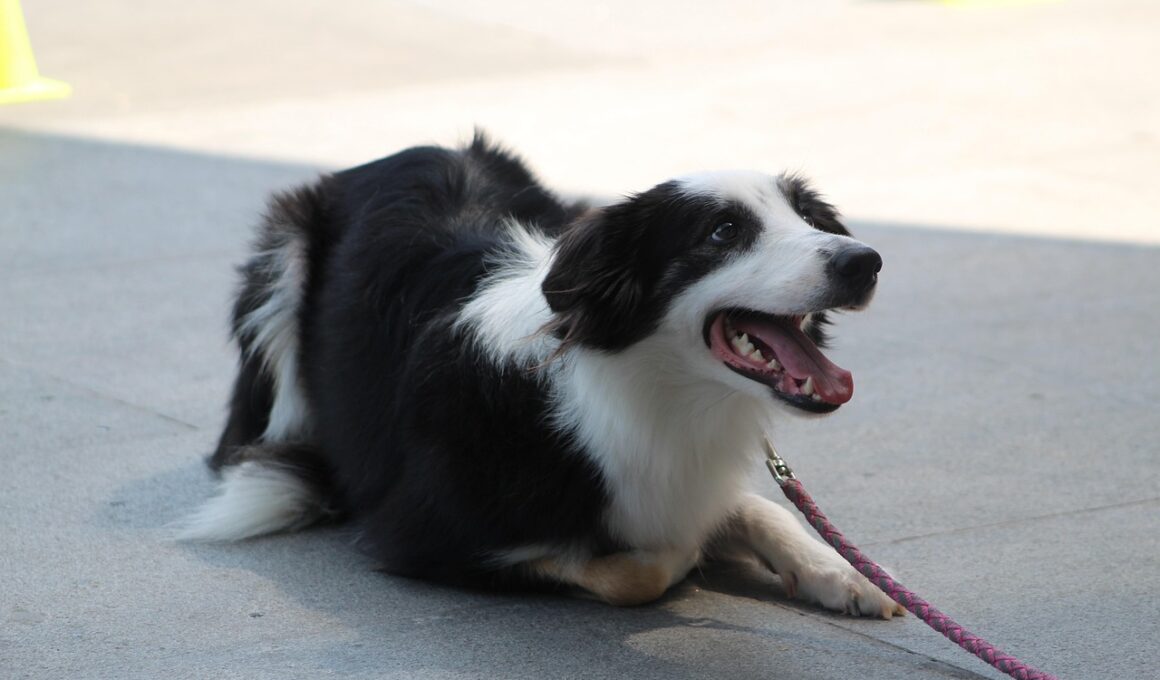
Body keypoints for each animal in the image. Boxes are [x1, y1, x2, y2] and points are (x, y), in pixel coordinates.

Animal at [184, 134, 900, 617]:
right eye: (723, 231)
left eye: (806, 218)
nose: (865, 261)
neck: (645, 392)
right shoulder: (419, 531)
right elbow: (631, 572)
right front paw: (676, 555)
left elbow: (755, 506)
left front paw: (848, 573)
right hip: (282, 259)